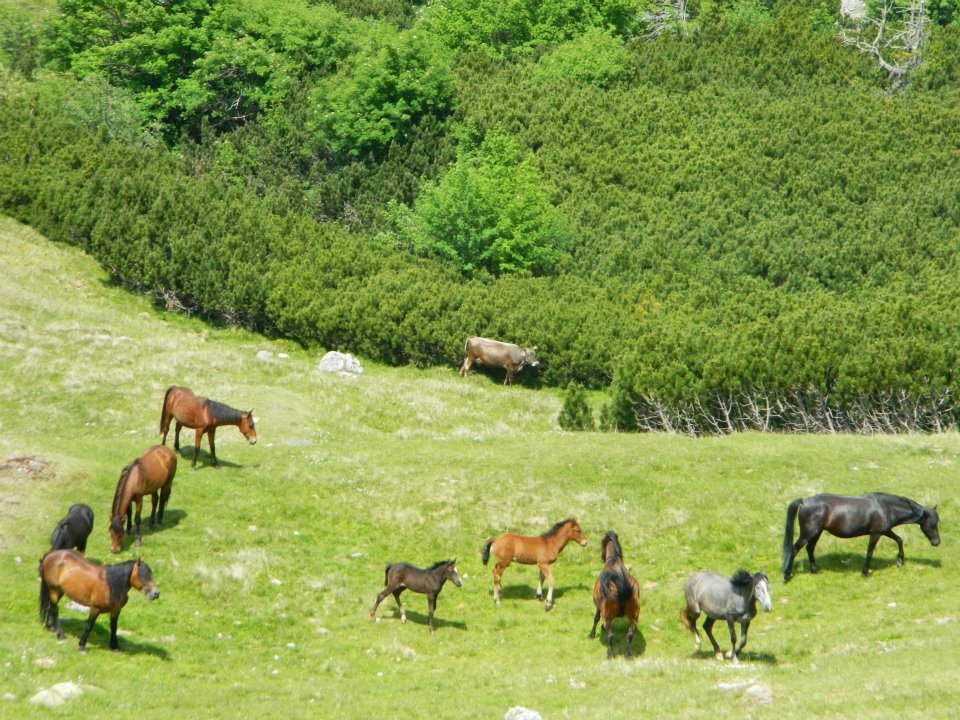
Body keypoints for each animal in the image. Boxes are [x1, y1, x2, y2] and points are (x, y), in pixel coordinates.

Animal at [781, 492, 940, 582]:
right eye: (930, 524)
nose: (936, 542)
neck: (885, 507)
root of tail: (804, 501)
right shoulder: (875, 534)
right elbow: (869, 552)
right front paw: (865, 573)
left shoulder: (885, 530)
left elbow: (899, 539)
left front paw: (900, 561)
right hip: (808, 533)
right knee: (794, 550)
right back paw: (787, 576)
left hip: (816, 532)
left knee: (810, 548)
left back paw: (814, 570)